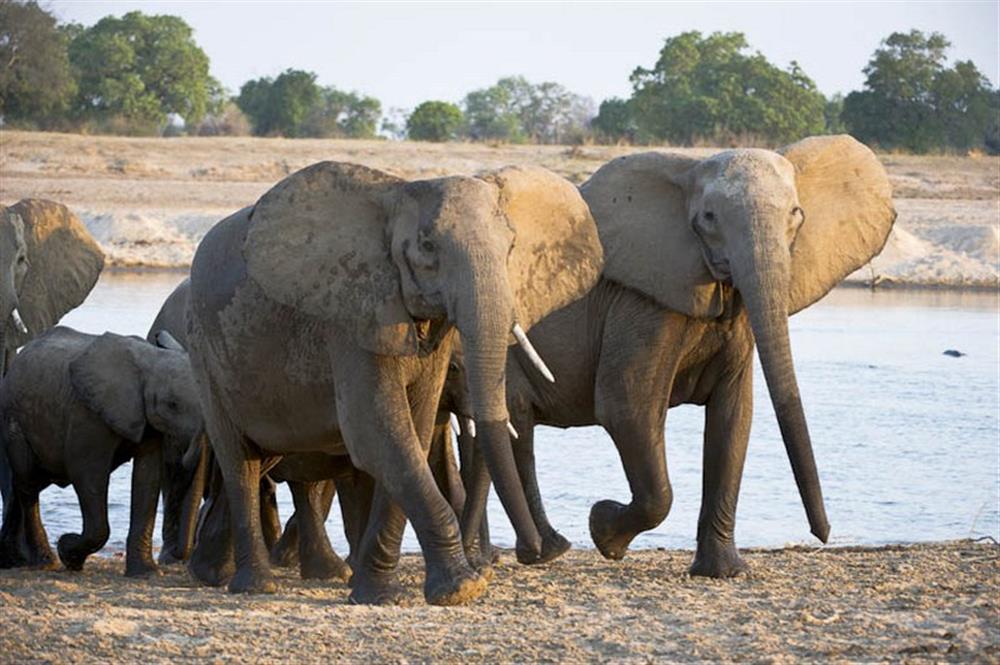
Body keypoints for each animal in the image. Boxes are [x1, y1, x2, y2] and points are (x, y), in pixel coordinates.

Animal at [0, 326, 205, 576]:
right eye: (172, 405)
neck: (149, 358)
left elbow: (148, 477)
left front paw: (145, 573)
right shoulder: (87, 414)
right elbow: (86, 472)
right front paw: (68, 552)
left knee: (28, 483)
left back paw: (13, 561)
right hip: (13, 419)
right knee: (28, 481)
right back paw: (46, 562)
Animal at [185, 161, 604, 600]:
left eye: (510, 247)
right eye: (428, 247)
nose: (537, 551)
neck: (396, 197)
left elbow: (411, 434)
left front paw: (377, 593)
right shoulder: (351, 316)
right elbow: (378, 433)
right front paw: (462, 588)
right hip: (205, 353)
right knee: (240, 463)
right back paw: (254, 585)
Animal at [458, 135, 896, 576]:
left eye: (796, 214)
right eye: (709, 217)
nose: (823, 533)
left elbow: (733, 416)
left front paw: (722, 572)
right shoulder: (641, 304)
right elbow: (627, 408)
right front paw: (604, 530)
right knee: (518, 428)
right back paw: (547, 551)